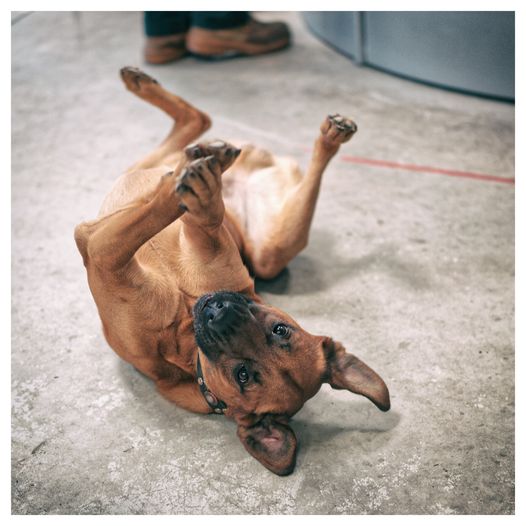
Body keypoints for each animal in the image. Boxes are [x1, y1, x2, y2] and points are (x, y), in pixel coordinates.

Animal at [75, 67, 392, 478]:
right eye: (281, 330)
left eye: (244, 374)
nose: (219, 311)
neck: (184, 322)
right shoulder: (194, 240)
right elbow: (202, 217)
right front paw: (202, 184)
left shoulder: (102, 252)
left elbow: (161, 208)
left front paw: (191, 184)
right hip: (258, 246)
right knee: (196, 132)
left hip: (257, 246)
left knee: (191, 133)